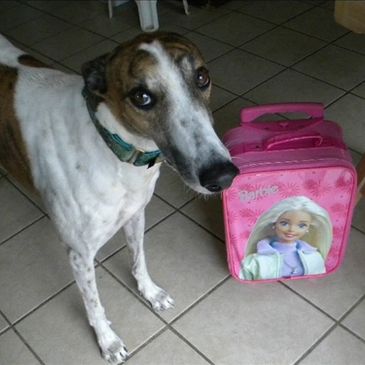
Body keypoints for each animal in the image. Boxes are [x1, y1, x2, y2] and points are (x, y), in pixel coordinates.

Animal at [0, 32, 237, 362]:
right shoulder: (79, 255)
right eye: (142, 97)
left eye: (202, 77)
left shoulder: (135, 213)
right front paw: (108, 342)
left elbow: (139, 259)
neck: (110, 146)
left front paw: (150, 293)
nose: (223, 176)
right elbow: (93, 305)